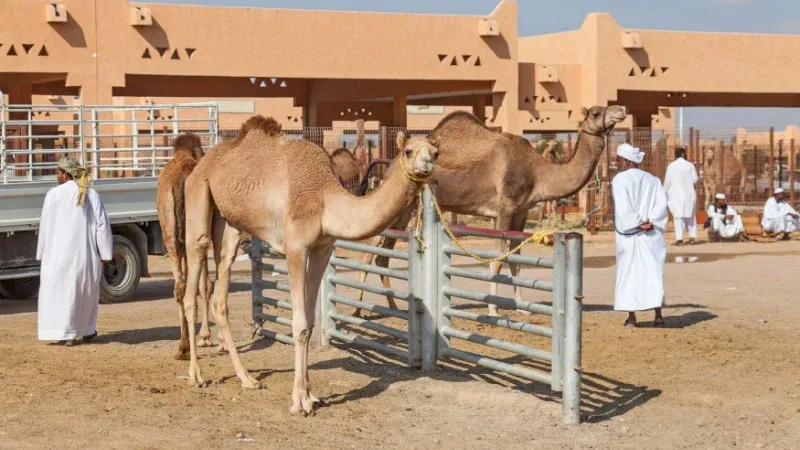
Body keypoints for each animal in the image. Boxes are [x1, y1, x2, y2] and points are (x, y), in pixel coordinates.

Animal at [155, 133, 212, 358]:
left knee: (179, 286)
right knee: (199, 285)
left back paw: (182, 347)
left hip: (170, 237)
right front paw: (206, 337)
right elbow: (205, 286)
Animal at [181, 116, 438, 414]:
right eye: (408, 150)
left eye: (435, 152)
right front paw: (299, 401)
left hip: (229, 225)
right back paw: (196, 375)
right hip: (199, 195)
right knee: (192, 276)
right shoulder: (295, 247)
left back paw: (246, 378)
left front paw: (311, 395)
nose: (426, 164)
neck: (326, 200)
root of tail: (201, 164)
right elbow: (300, 324)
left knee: (221, 292)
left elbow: (311, 323)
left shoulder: (322, 249)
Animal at [352, 105, 624, 316]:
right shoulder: (505, 209)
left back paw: (393, 306)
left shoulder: (521, 212)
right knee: (368, 253)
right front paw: (493, 309)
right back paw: (358, 309)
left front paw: (522, 307)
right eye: (596, 112)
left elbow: (516, 260)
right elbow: (497, 261)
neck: (538, 171)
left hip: (406, 210)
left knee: (382, 256)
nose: (620, 110)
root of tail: (389, 164)